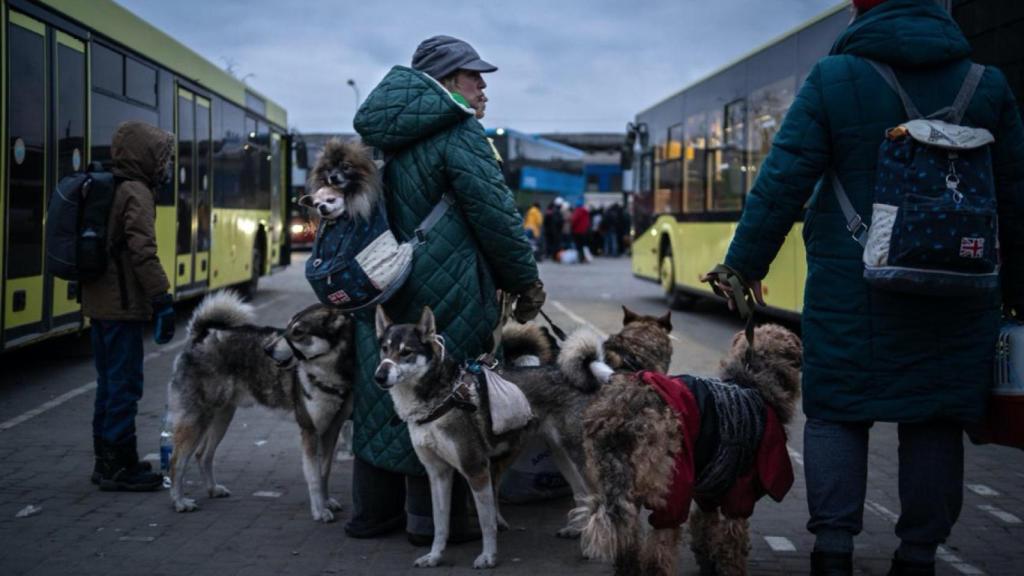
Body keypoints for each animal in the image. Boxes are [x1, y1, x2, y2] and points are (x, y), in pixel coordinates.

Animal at [167, 293, 356, 522]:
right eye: (287, 327)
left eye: (298, 332)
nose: (267, 349)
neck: (329, 375)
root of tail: (201, 335)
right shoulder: (310, 431)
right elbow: (313, 478)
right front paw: (319, 510)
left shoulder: (332, 429)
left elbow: (324, 472)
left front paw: (327, 502)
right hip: (195, 420)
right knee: (176, 462)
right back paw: (179, 502)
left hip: (222, 417)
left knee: (203, 455)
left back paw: (213, 489)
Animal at [577, 323, 798, 573]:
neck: (752, 381)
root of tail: (621, 415)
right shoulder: (739, 491)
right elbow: (732, 543)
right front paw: (727, 567)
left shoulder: (709, 489)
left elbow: (705, 528)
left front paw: (708, 562)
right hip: (673, 486)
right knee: (658, 553)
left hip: (620, 488)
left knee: (628, 542)